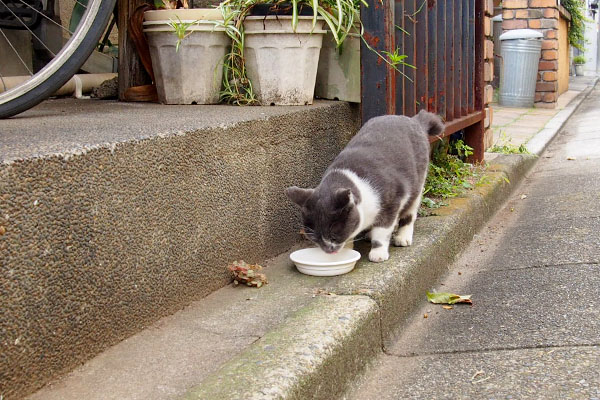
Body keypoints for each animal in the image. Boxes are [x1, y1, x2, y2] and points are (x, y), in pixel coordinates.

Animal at [284, 111, 442, 262]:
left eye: (334, 234)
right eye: (314, 238)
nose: (328, 249)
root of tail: (414, 119)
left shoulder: (391, 203)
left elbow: (382, 231)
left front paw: (378, 253)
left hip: (417, 185)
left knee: (409, 213)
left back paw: (402, 238)